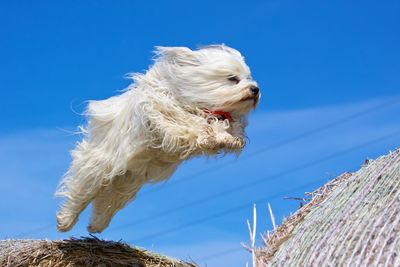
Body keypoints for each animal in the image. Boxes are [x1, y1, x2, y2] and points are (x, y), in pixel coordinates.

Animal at [55, 45, 260, 233]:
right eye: (232, 79)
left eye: (248, 78)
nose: (255, 89)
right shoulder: (163, 111)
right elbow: (190, 122)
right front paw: (214, 133)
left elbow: (228, 127)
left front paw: (231, 138)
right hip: (100, 166)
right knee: (82, 191)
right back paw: (65, 220)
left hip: (126, 182)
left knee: (107, 202)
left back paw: (96, 225)